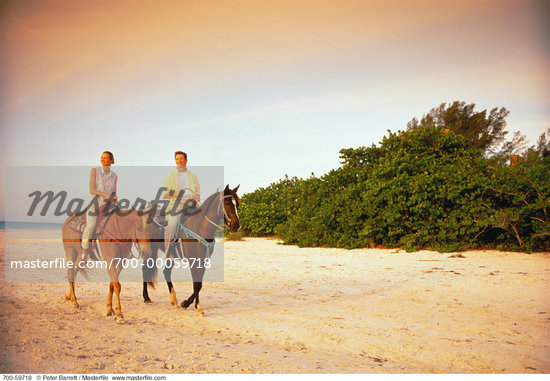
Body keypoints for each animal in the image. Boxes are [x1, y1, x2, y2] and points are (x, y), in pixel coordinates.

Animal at [142, 184, 242, 314]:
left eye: (237, 204)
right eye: (227, 203)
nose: (237, 226)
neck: (200, 227)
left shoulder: (203, 261)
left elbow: (199, 284)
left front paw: (186, 303)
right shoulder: (193, 261)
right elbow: (196, 284)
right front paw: (197, 307)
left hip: (170, 254)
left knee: (166, 272)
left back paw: (173, 299)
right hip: (151, 250)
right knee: (145, 270)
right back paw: (146, 297)